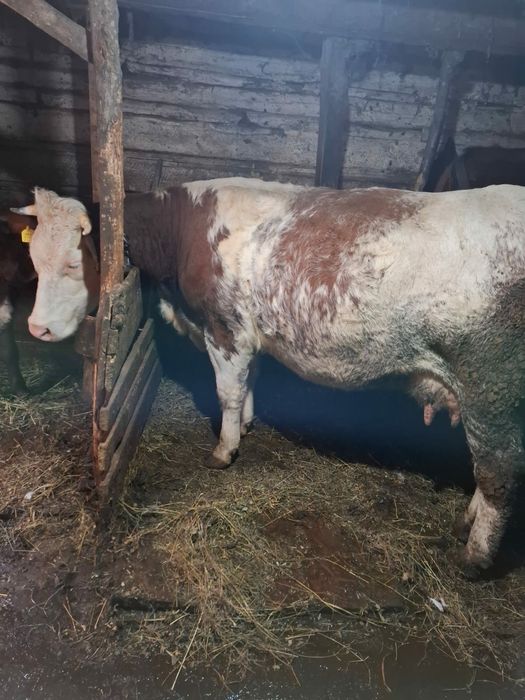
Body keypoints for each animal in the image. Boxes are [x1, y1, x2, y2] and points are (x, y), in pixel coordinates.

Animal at [13, 180, 525, 575]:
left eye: (74, 263)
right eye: (33, 261)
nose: (36, 329)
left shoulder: (225, 327)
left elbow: (227, 390)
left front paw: (224, 448)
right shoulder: (247, 332)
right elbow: (248, 381)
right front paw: (247, 424)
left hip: (491, 386)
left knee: (499, 474)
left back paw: (474, 556)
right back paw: (465, 523)